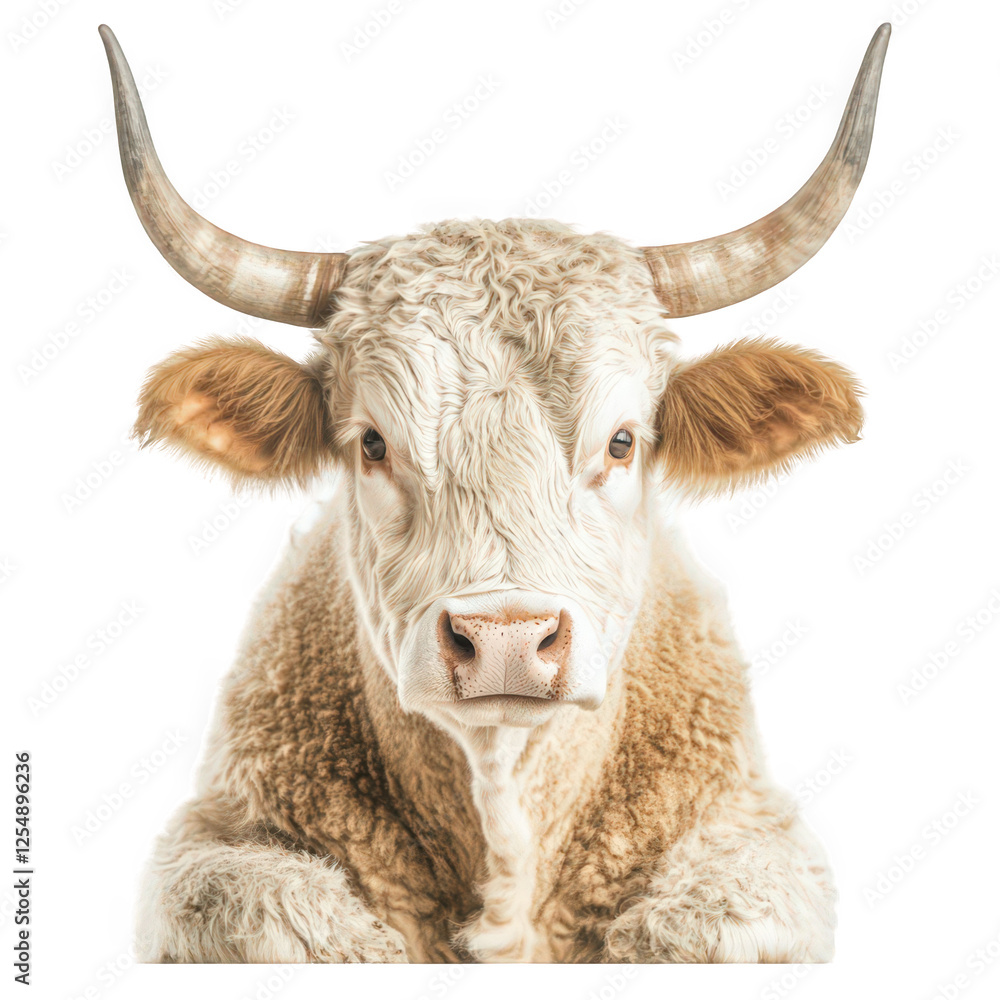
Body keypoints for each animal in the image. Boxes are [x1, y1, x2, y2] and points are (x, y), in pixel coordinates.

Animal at [99, 22, 890, 963]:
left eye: (623, 442)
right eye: (373, 443)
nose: (507, 639)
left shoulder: (757, 841)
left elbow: (702, 920)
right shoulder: (211, 851)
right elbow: (288, 916)